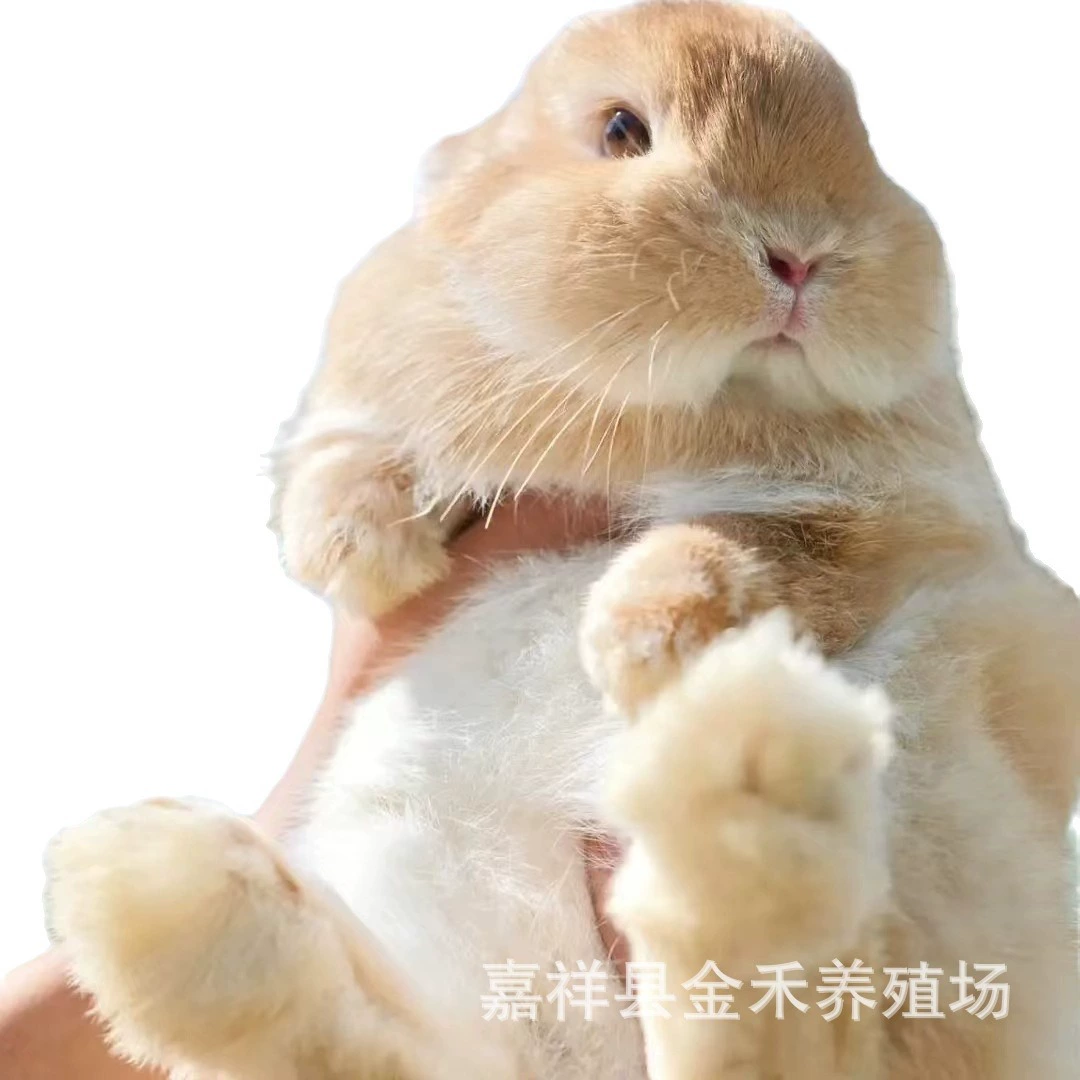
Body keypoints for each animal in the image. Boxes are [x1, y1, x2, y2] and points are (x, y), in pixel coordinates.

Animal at [44, 2, 1080, 1078]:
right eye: (622, 130)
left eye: (865, 145)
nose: (801, 254)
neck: (681, 403)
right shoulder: (363, 391)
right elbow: (336, 455)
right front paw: (363, 551)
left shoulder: (896, 518)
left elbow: (756, 546)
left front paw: (642, 638)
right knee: (370, 1047)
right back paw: (154, 889)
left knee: (781, 1022)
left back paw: (736, 771)